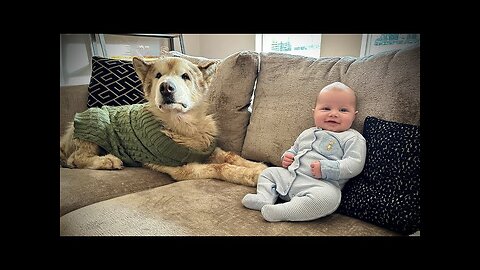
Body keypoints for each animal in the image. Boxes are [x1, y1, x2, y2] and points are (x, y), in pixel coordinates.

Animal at [59, 54, 266, 186]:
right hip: (91, 133)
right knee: (75, 159)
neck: (182, 123)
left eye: (185, 76)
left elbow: (231, 156)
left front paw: (257, 165)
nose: (166, 88)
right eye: (158, 76)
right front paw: (253, 174)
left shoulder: (209, 149)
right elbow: (221, 167)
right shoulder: (183, 169)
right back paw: (108, 161)